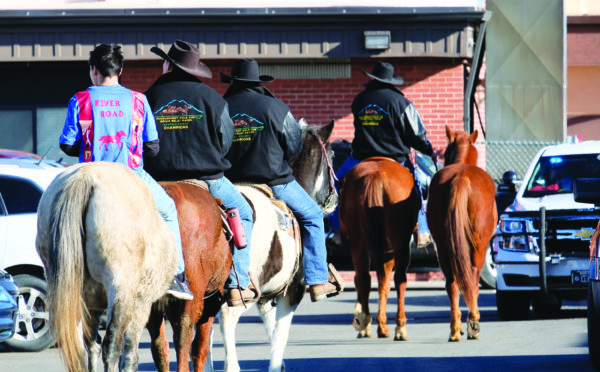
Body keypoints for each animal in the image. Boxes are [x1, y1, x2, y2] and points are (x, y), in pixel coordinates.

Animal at [340, 156, 420, 340]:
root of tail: (375, 177)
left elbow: (381, 283)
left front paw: (379, 324)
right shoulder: (391, 251)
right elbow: (387, 282)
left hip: (358, 243)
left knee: (363, 278)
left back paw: (366, 324)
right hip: (401, 243)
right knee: (400, 279)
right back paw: (400, 326)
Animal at [426, 126, 496, 342]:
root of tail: (460, 178)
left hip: (443, 245)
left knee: (452, 282)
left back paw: (455, 329)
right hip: (478, 246)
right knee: (472, 277)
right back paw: (473, 322)